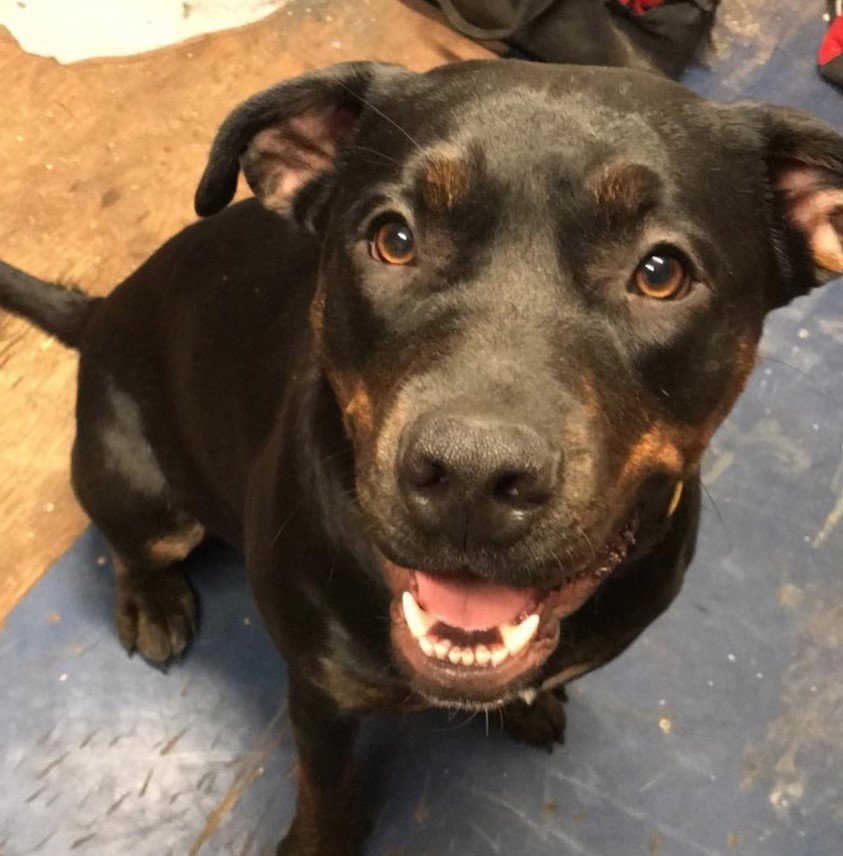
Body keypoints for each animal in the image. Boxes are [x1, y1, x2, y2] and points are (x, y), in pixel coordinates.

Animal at [1, 61, 843, 856]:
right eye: (394, 239)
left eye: (661, 272)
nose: (472, 474)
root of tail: (99, 310)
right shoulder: (322, 695)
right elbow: (325, 793)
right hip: (142, 490)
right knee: (132, 542)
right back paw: (152, 600)